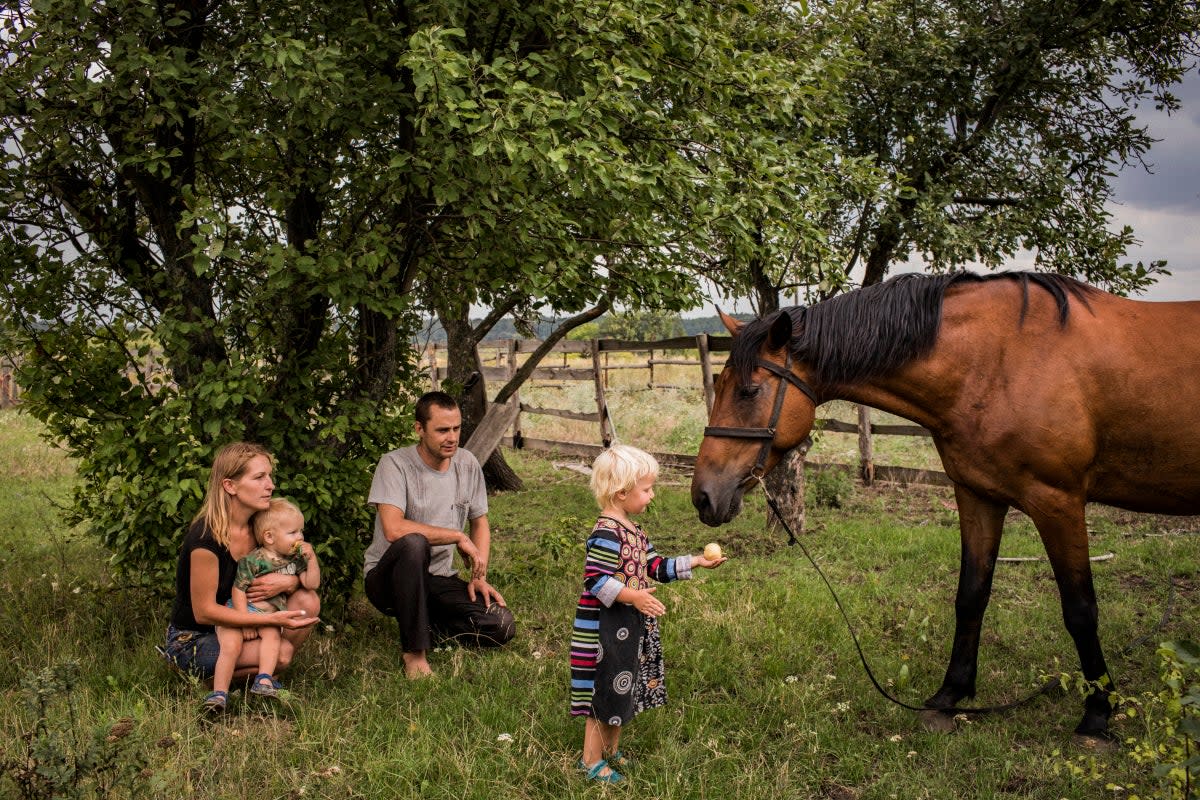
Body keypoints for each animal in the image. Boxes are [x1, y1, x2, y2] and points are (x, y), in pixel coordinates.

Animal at [691, 272, 1200, 743]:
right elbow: (970, 594)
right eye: (721, 384)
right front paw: (950, 695)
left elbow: (1080, 609)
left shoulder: (1059, 501)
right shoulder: (978, 496)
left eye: (750, 392)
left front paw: (1097, 713)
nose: (703, 496)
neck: (1000, 360)